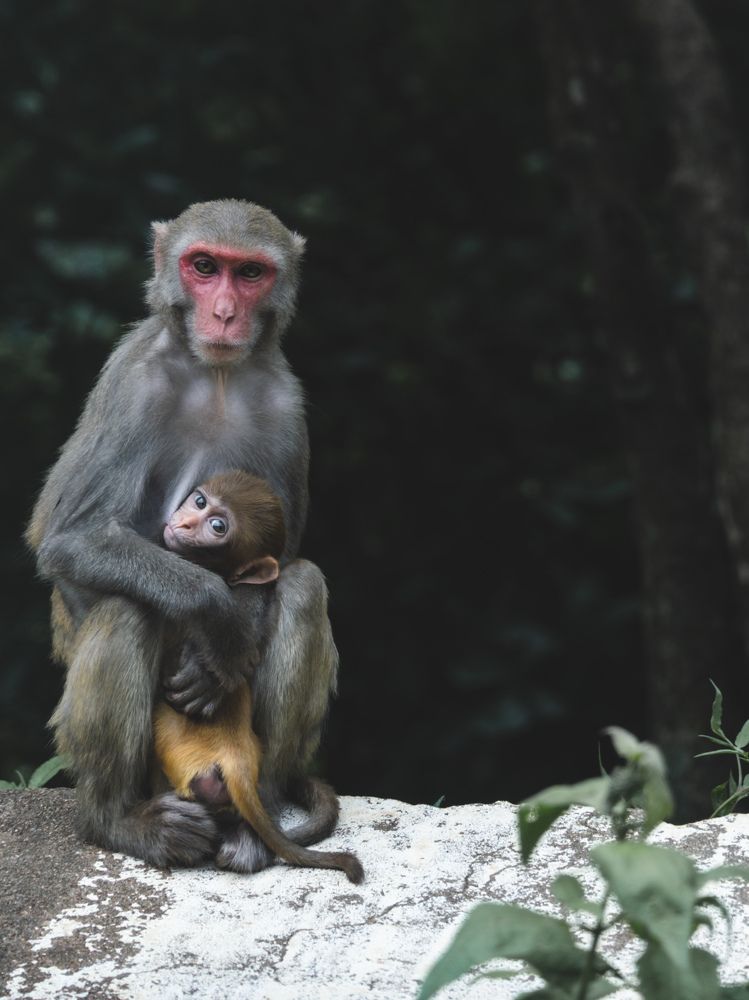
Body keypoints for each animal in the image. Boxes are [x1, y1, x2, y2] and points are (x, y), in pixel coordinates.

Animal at [27, 201, 341, 872]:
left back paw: (258, 813)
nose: (223, 313)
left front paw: (230, 629)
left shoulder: (286, 400)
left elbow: (280, 557)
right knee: (126, 607)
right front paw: (215, 614)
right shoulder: (131, 381)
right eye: (203, 266)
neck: (215, 373)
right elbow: (71, 537)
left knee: (304, 585)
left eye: (249, 273)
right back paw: (117, 820)